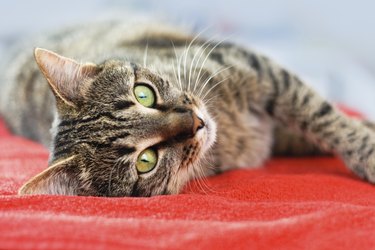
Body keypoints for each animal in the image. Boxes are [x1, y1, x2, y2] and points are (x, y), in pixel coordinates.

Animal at [0, 21, 375, 197]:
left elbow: (321, 116)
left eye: (144, 94)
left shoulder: (257, 68)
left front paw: (364, 141)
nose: (195, 121)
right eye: (146, 161)